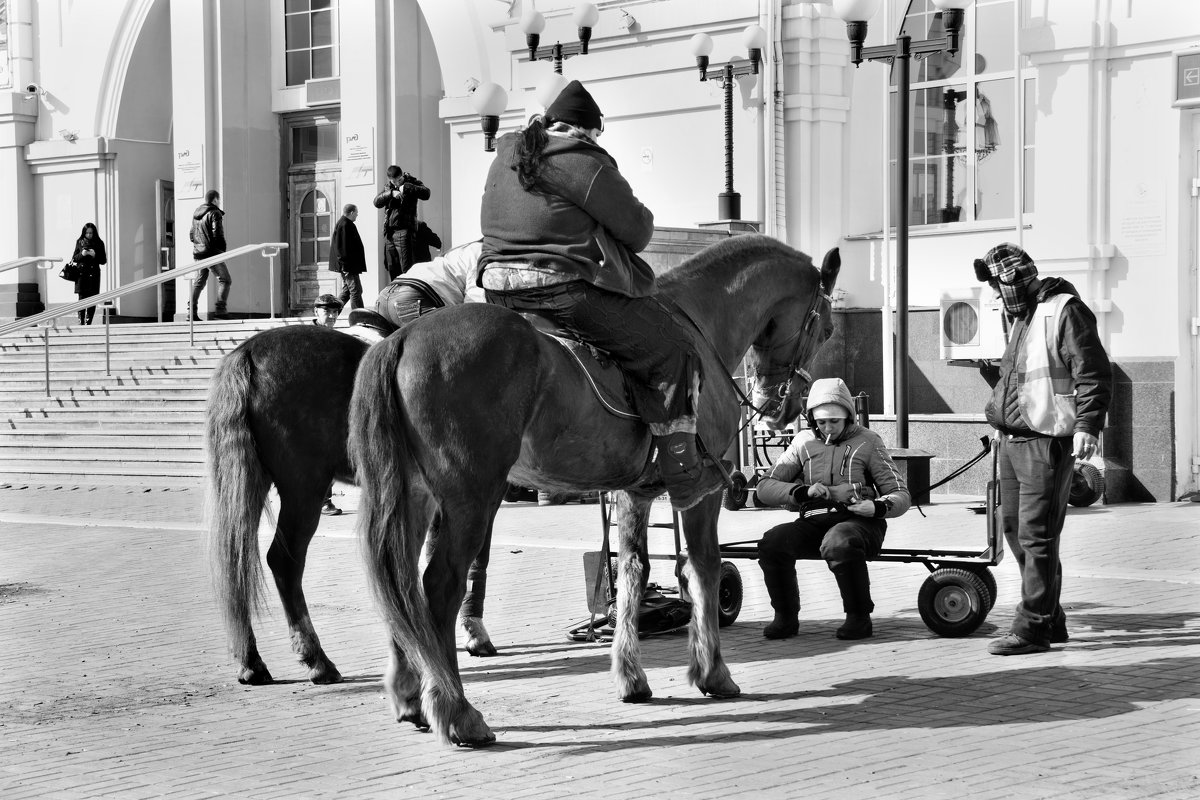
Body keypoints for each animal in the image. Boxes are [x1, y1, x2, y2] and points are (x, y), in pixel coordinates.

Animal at [206, 321, 496, 686]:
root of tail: (249, 352)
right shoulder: (477, 494)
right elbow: (471, 559)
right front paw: (471, 633)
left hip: (250, 481)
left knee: (237, 560)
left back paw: (251, 662)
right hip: (304, 489)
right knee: (284, 562)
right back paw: (317, 660)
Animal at [343, 235, 840, 748]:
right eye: (826, 327)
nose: (780, 408)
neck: (700, 323)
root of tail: (402, 338)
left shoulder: (634, 493)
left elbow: (633, 573)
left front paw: (631, 676)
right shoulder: (703, 493)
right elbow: (701, 568)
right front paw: (712, 672)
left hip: (415, 496)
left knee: (401, 583)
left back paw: (411, 697)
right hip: (470, 499)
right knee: (438, 588)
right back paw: (458, 712)